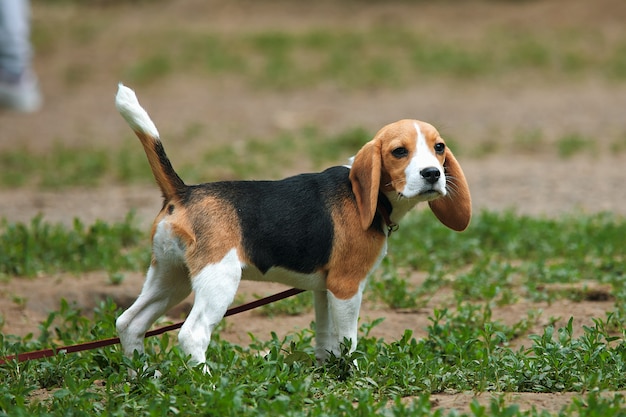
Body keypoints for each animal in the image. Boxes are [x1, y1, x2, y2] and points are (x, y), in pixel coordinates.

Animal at [114, 83, 470, 366]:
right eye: (399, 152)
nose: (432, 174)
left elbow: (326, 338)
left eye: (439, 148)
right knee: (192, 335)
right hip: (218, 279)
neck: (366, 196)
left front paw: (328, 372)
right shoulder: (347, 286)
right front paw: (354, 376)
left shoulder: (325, 288)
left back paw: (143, 378)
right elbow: (349, 340)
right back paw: (208, 386)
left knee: (129, 323)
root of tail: (183, 191)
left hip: (170, 277)